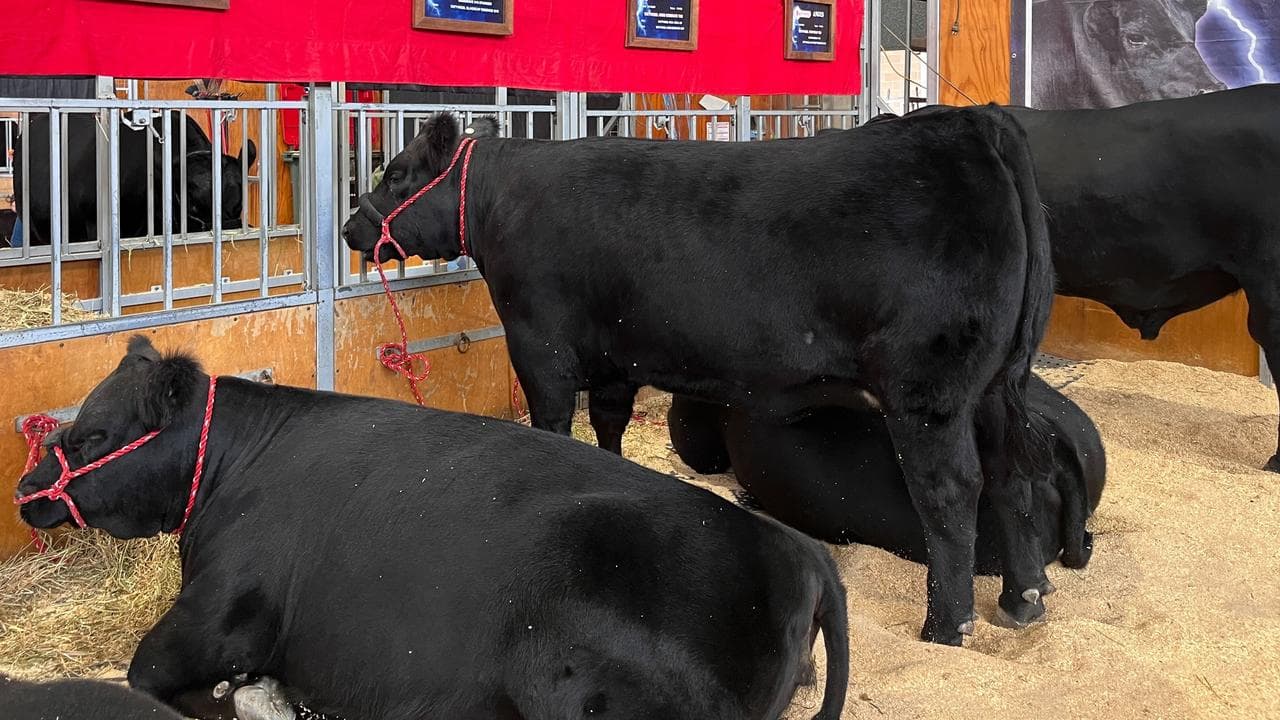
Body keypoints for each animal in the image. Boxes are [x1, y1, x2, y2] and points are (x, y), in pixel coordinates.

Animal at [341, 107, 1057, 645]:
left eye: (396, 172)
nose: (351, 226)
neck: (504, 200)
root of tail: (970, 122)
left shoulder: (538, 342)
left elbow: (555, 426)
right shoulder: (615, 357)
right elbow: (608, 430)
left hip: (929, 393)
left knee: (951, 492)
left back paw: (947, 625)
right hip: (994, 389)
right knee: (1011, 474)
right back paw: (1024, 599)